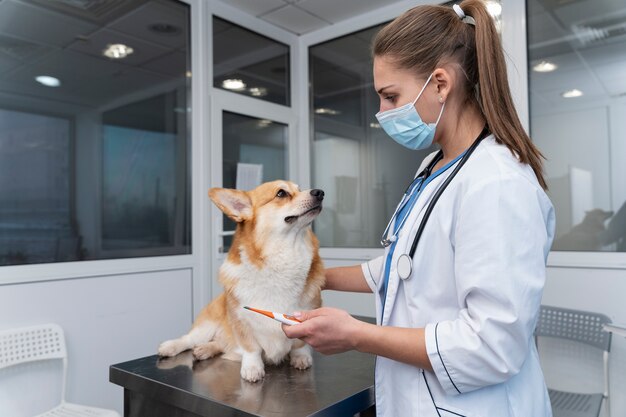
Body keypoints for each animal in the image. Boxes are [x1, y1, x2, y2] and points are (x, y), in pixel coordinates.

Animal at [156, 180, 324, 382]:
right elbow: (251, 348)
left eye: (300, 189)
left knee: (220, 344)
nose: (320, 192)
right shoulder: (241, 320)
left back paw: (205, 350)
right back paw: (171, 346)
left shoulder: (307, 314)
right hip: (208, 324)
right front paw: (252, 368)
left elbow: (300, 345)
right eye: (281, 193)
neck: (283, 257)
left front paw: (301, 358)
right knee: (190, 338)